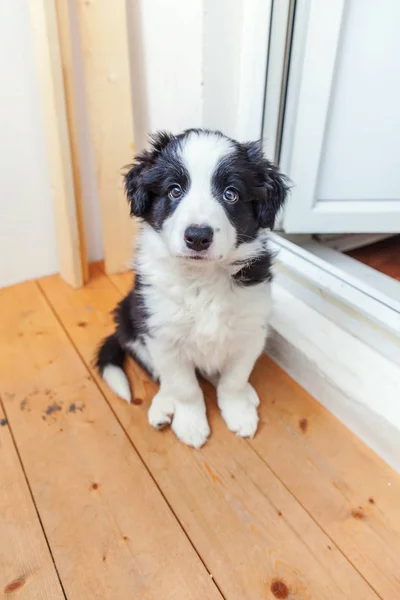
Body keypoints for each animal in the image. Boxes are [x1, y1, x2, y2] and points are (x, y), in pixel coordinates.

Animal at [95, 129, 290, 448]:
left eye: (231, 194)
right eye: (174, 191)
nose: (198, 237)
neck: (202, 280)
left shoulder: (251, 331)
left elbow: (234, 379)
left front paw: (238, 412)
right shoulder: (162, 335)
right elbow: (184, 387)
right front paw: (191, 424)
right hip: (130, 320)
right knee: (162, 376)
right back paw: (163, 406)